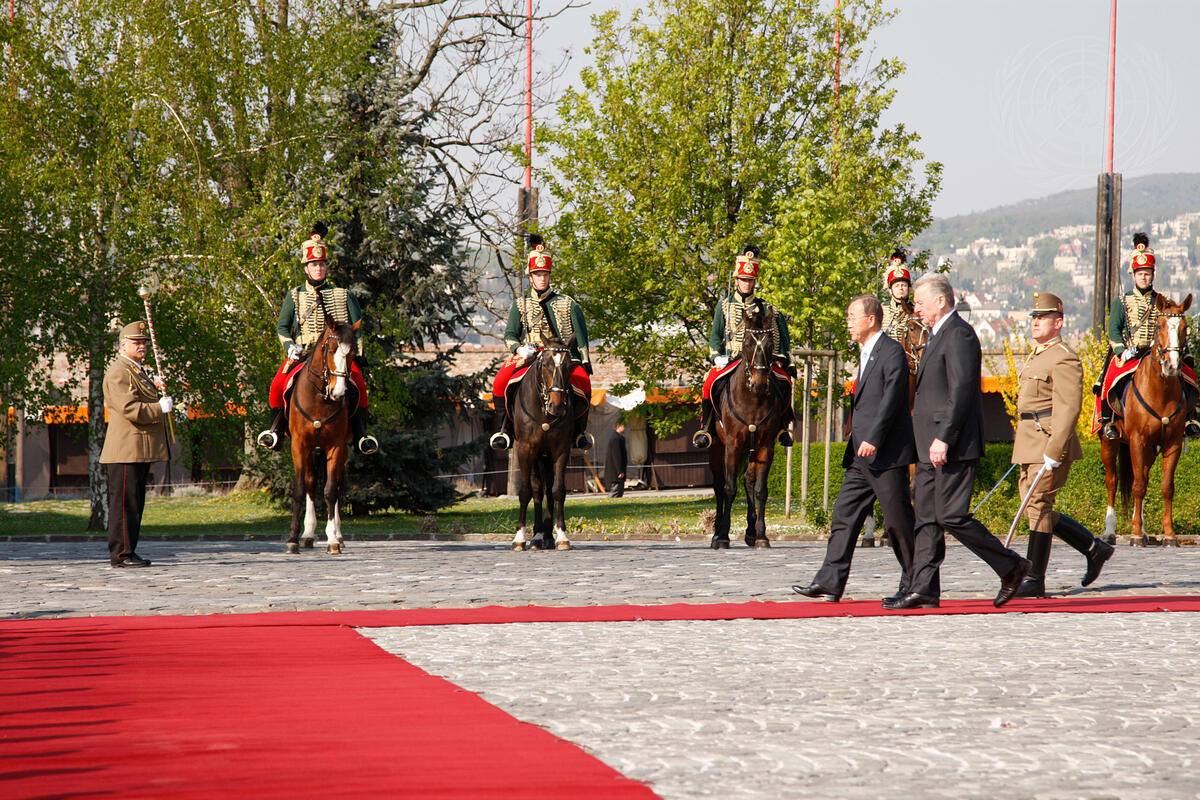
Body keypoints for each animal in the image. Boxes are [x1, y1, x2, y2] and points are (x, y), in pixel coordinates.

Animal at [284, 313, 358, 555]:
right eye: (330, 349)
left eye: (353, 352)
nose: (339, 392)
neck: (319, 399)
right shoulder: (299, 445)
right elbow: (300, 488)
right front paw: (293, 539)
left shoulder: (336, 446)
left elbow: (330, 490)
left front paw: (332, 539)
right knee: (309, 482)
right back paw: (307, 535)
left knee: (335, 484)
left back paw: (338, 535)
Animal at [509, 336, 583, 551]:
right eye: (545, 365)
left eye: (568, 367)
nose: (557, 406)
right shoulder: (525, 449)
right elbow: (525, 491)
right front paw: (519, 538)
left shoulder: (561, 449)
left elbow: (558, 490)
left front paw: (562, 536)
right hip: (535, 455)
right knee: (536, 489)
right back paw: (536, 537)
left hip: (546, 456)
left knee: (548, 489)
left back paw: (547, 536)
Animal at [708, 304, 791, 549]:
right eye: (746, 343)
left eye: (771, 343)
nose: (759, 383)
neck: (752, 399)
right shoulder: (732, 446)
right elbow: (729, 489)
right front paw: (723, 536)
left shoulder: (765, 447)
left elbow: (760, 490)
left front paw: (761, 535)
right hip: (716, 449)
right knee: (719, 486)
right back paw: (716, 533)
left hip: (751, 450)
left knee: (748, 481)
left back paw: (751, 532)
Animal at [1102, 293, 1195, 547]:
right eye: (1160, 325)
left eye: (1184, 328)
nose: (1172, 365)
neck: (1160, 390)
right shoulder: (1136, 439)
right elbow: (1137, 486)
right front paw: (1134, 534)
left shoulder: (1172, 443)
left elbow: (1166, 487)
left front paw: (1169, 534)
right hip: (1110, 442)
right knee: (1113, 481)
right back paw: (1110, 530)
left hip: (1150, 450)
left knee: (1141, 474)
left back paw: (1143, 529)